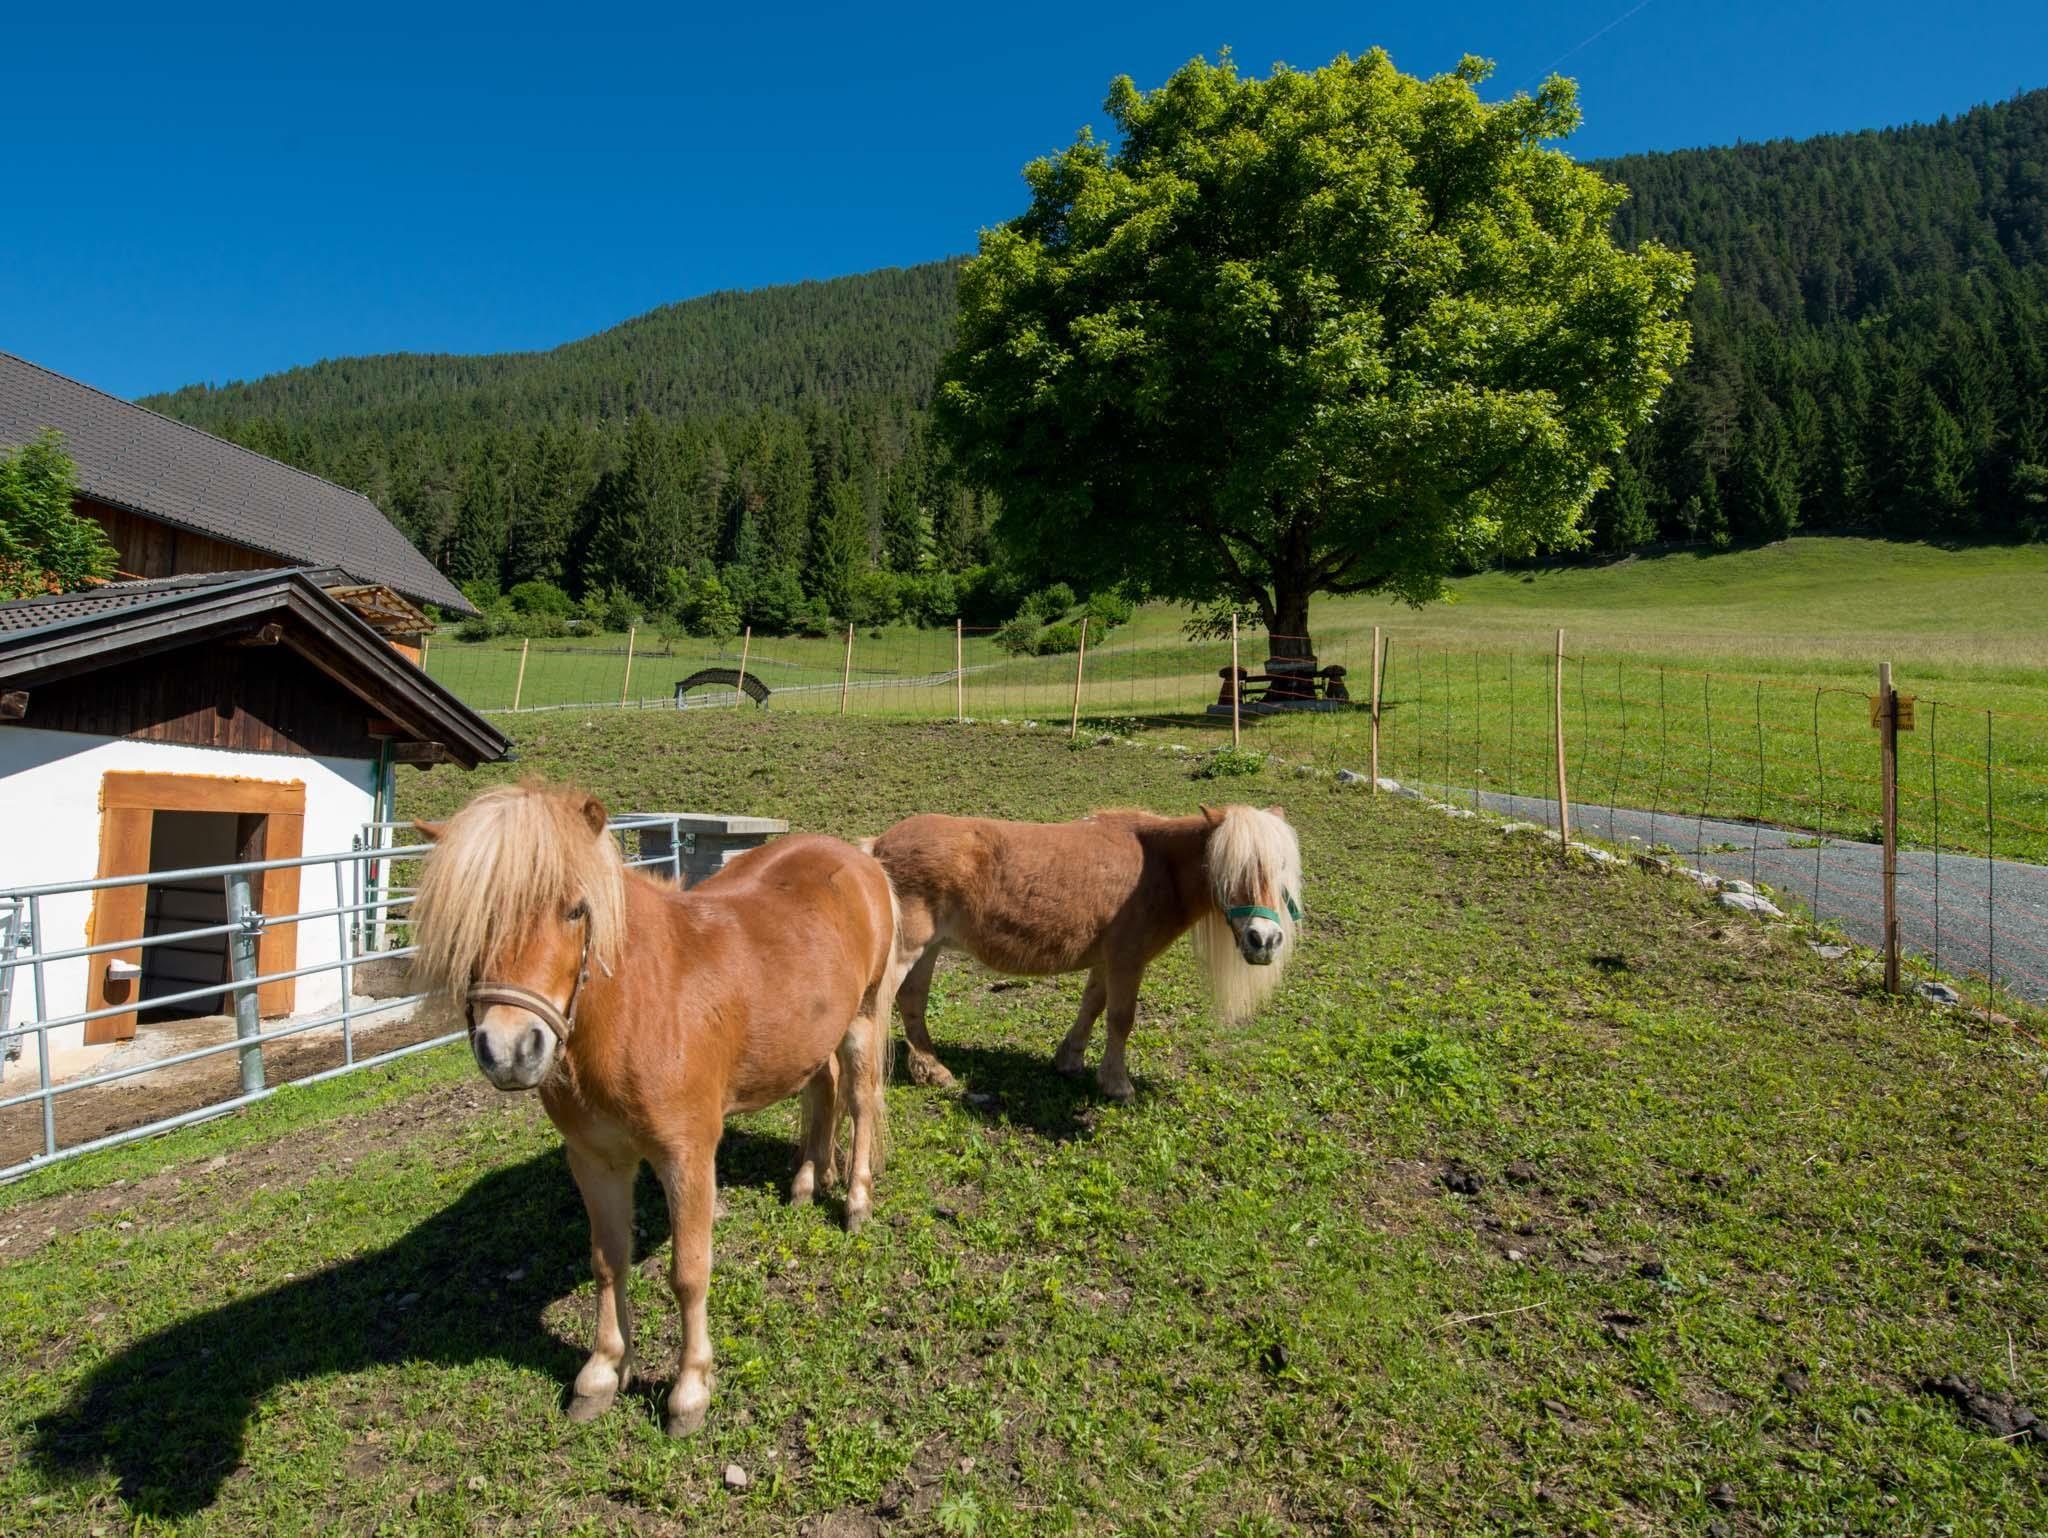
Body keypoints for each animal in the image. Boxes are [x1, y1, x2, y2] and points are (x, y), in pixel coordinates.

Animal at [407, 782, 901, 1437]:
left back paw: (855, 1201)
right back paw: (804, 1182)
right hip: (812, 1033)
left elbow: (688, 1273)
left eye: (575, 909)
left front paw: (689, 1389)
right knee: (822, 1091)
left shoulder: (686, 1157)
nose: (511, 1050)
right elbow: (607, 1260)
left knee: (863, 1101)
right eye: (470, 916)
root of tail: (859, 859)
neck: (639, 1007)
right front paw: (602, 1372)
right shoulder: (595, 1160)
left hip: (864, 1018)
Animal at [869, 803, 1302, 1100]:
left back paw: (933, 1070)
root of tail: (877, 846)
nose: (1264, 940)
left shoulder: (1107, 961)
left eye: (1281, 866)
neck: (1157, 865)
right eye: (1231, 870)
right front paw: (1117, 1084)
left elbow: (1092, 1006)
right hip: (909, 950)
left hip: (927, 950)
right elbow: (1120, 1019)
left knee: (912, 1001)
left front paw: (1070, 1060)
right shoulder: (1128, 961)